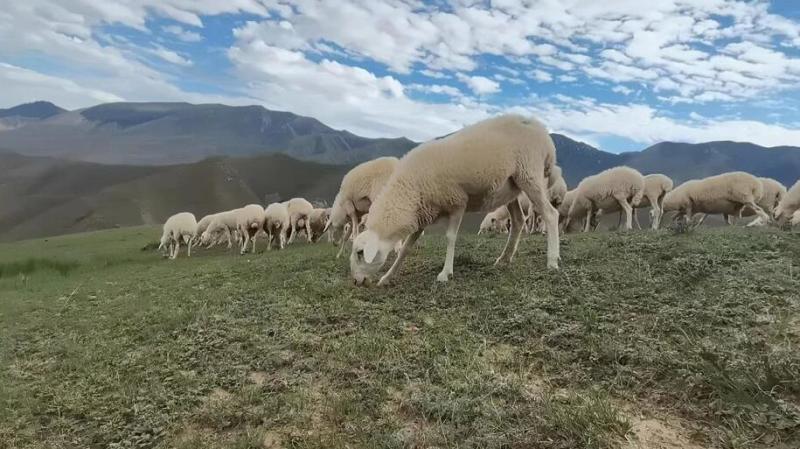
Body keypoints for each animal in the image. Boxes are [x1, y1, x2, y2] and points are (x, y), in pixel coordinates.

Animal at [346, 114, 560, 286]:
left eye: (359, 253)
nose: (356, 282)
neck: (409, 193)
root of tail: (542, 131)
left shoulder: (457, 202)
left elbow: (450, 237)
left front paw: (445, 273)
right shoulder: (424, 214)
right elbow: (406, 247)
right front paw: (388, 277)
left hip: (530, 174)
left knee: (551, 214)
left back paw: (552, 260)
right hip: (511, 188)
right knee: (518, 220)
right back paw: (504, 258)